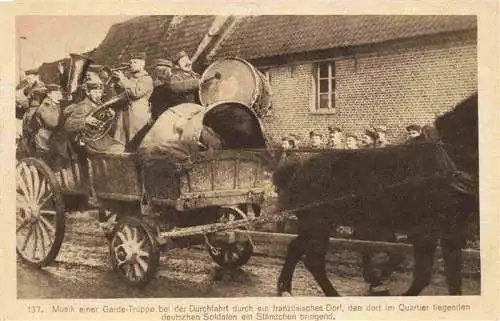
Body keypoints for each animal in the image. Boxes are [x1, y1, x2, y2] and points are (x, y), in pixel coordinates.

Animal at [276, 93, 478, 296]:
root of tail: (299, 170)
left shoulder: (452, 230)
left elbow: (453, 279)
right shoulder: (425, 230)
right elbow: (422, 276)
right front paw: (381, 283)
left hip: (316, 223)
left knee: (297, 249)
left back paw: (285, 288)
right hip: (319, 223)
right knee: (313, 259)